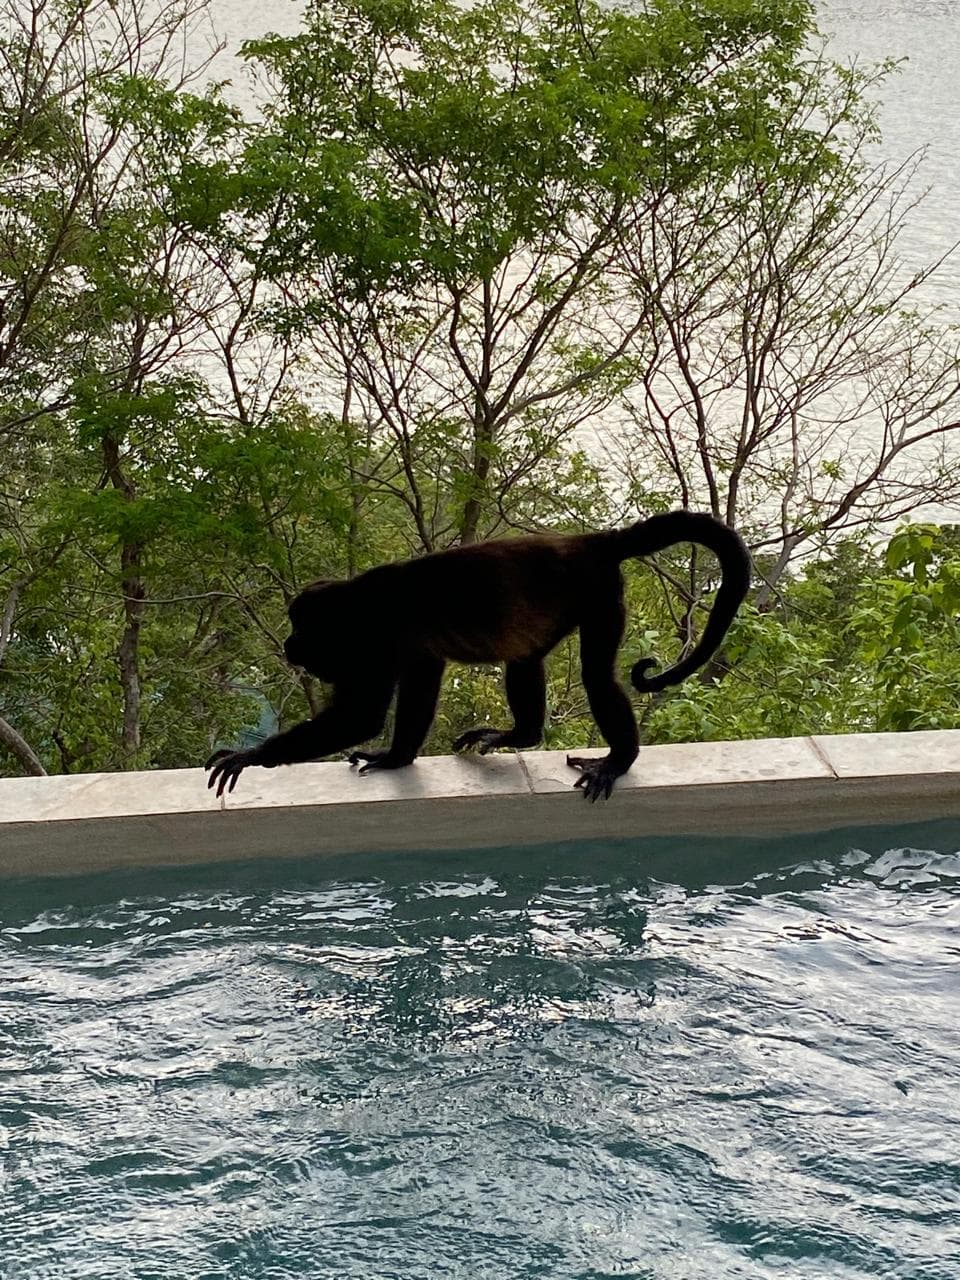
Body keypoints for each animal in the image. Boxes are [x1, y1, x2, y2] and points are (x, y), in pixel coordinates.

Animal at [205, 511, 751, 803]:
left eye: (302, 628)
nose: (289, 644)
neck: (357, 608)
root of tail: (590, 541)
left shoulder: (377, 641)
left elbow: (362, 715)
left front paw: (248, 756)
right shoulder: (406, 647)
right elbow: (422, 680)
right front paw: (396, 757)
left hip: (597, 592)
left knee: (596, 675)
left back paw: (619, 760)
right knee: (524, 659)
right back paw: (521, 734)